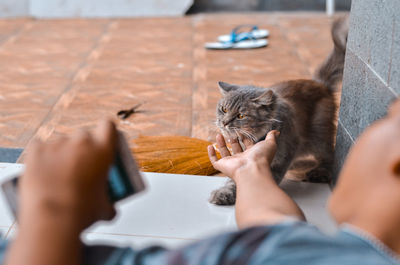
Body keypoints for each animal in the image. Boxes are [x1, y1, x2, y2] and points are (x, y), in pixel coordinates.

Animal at [211, 16, 348, 204]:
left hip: (318, 136)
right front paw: (225, 192)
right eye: (224, 109)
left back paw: (320, 172)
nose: (224, 123)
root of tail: (319, 83)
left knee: (329, 155)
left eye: (240, 115)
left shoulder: (284, 154)